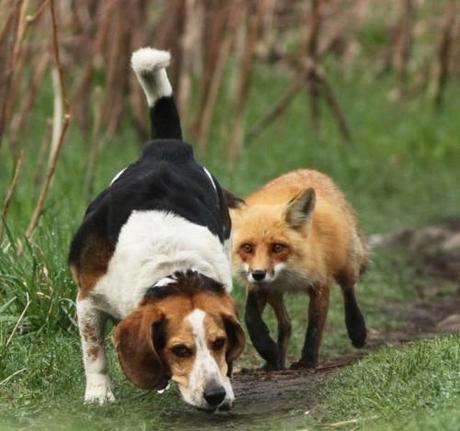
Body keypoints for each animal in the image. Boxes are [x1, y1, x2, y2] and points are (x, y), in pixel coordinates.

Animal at [232, 170, 368, 372]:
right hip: (274, 294)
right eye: (247, 248)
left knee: (348, 290)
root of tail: (310, 170)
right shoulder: (259, 287)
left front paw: (307, 361)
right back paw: (274, 362)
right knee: (286, 324)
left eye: (278, 247)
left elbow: (314, 327)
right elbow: (250, 317)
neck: (288, 275)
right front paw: (268, 349)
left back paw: (357, 329)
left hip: (346, 263)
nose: (258, 274)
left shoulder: (319, 284)